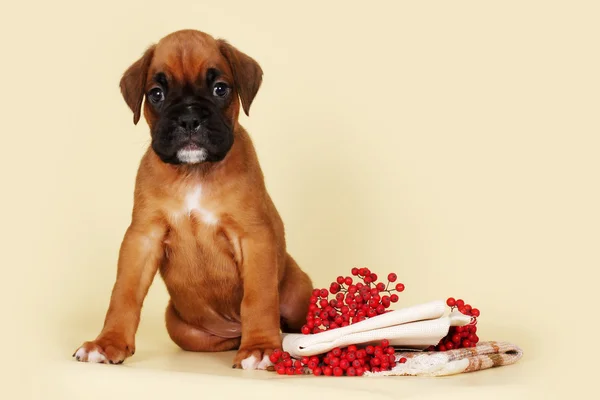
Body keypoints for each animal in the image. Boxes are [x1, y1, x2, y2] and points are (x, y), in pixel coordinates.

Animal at [74, 29, 314, 370]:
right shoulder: (142, 239)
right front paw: (108, 343)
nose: (188, 119)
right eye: (156, 94)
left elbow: (258, 296)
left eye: (220, 89)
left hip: (298, 293)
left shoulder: (254, 238)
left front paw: (260, 348)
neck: (194, 172)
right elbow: (123, 293)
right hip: (183, 330)